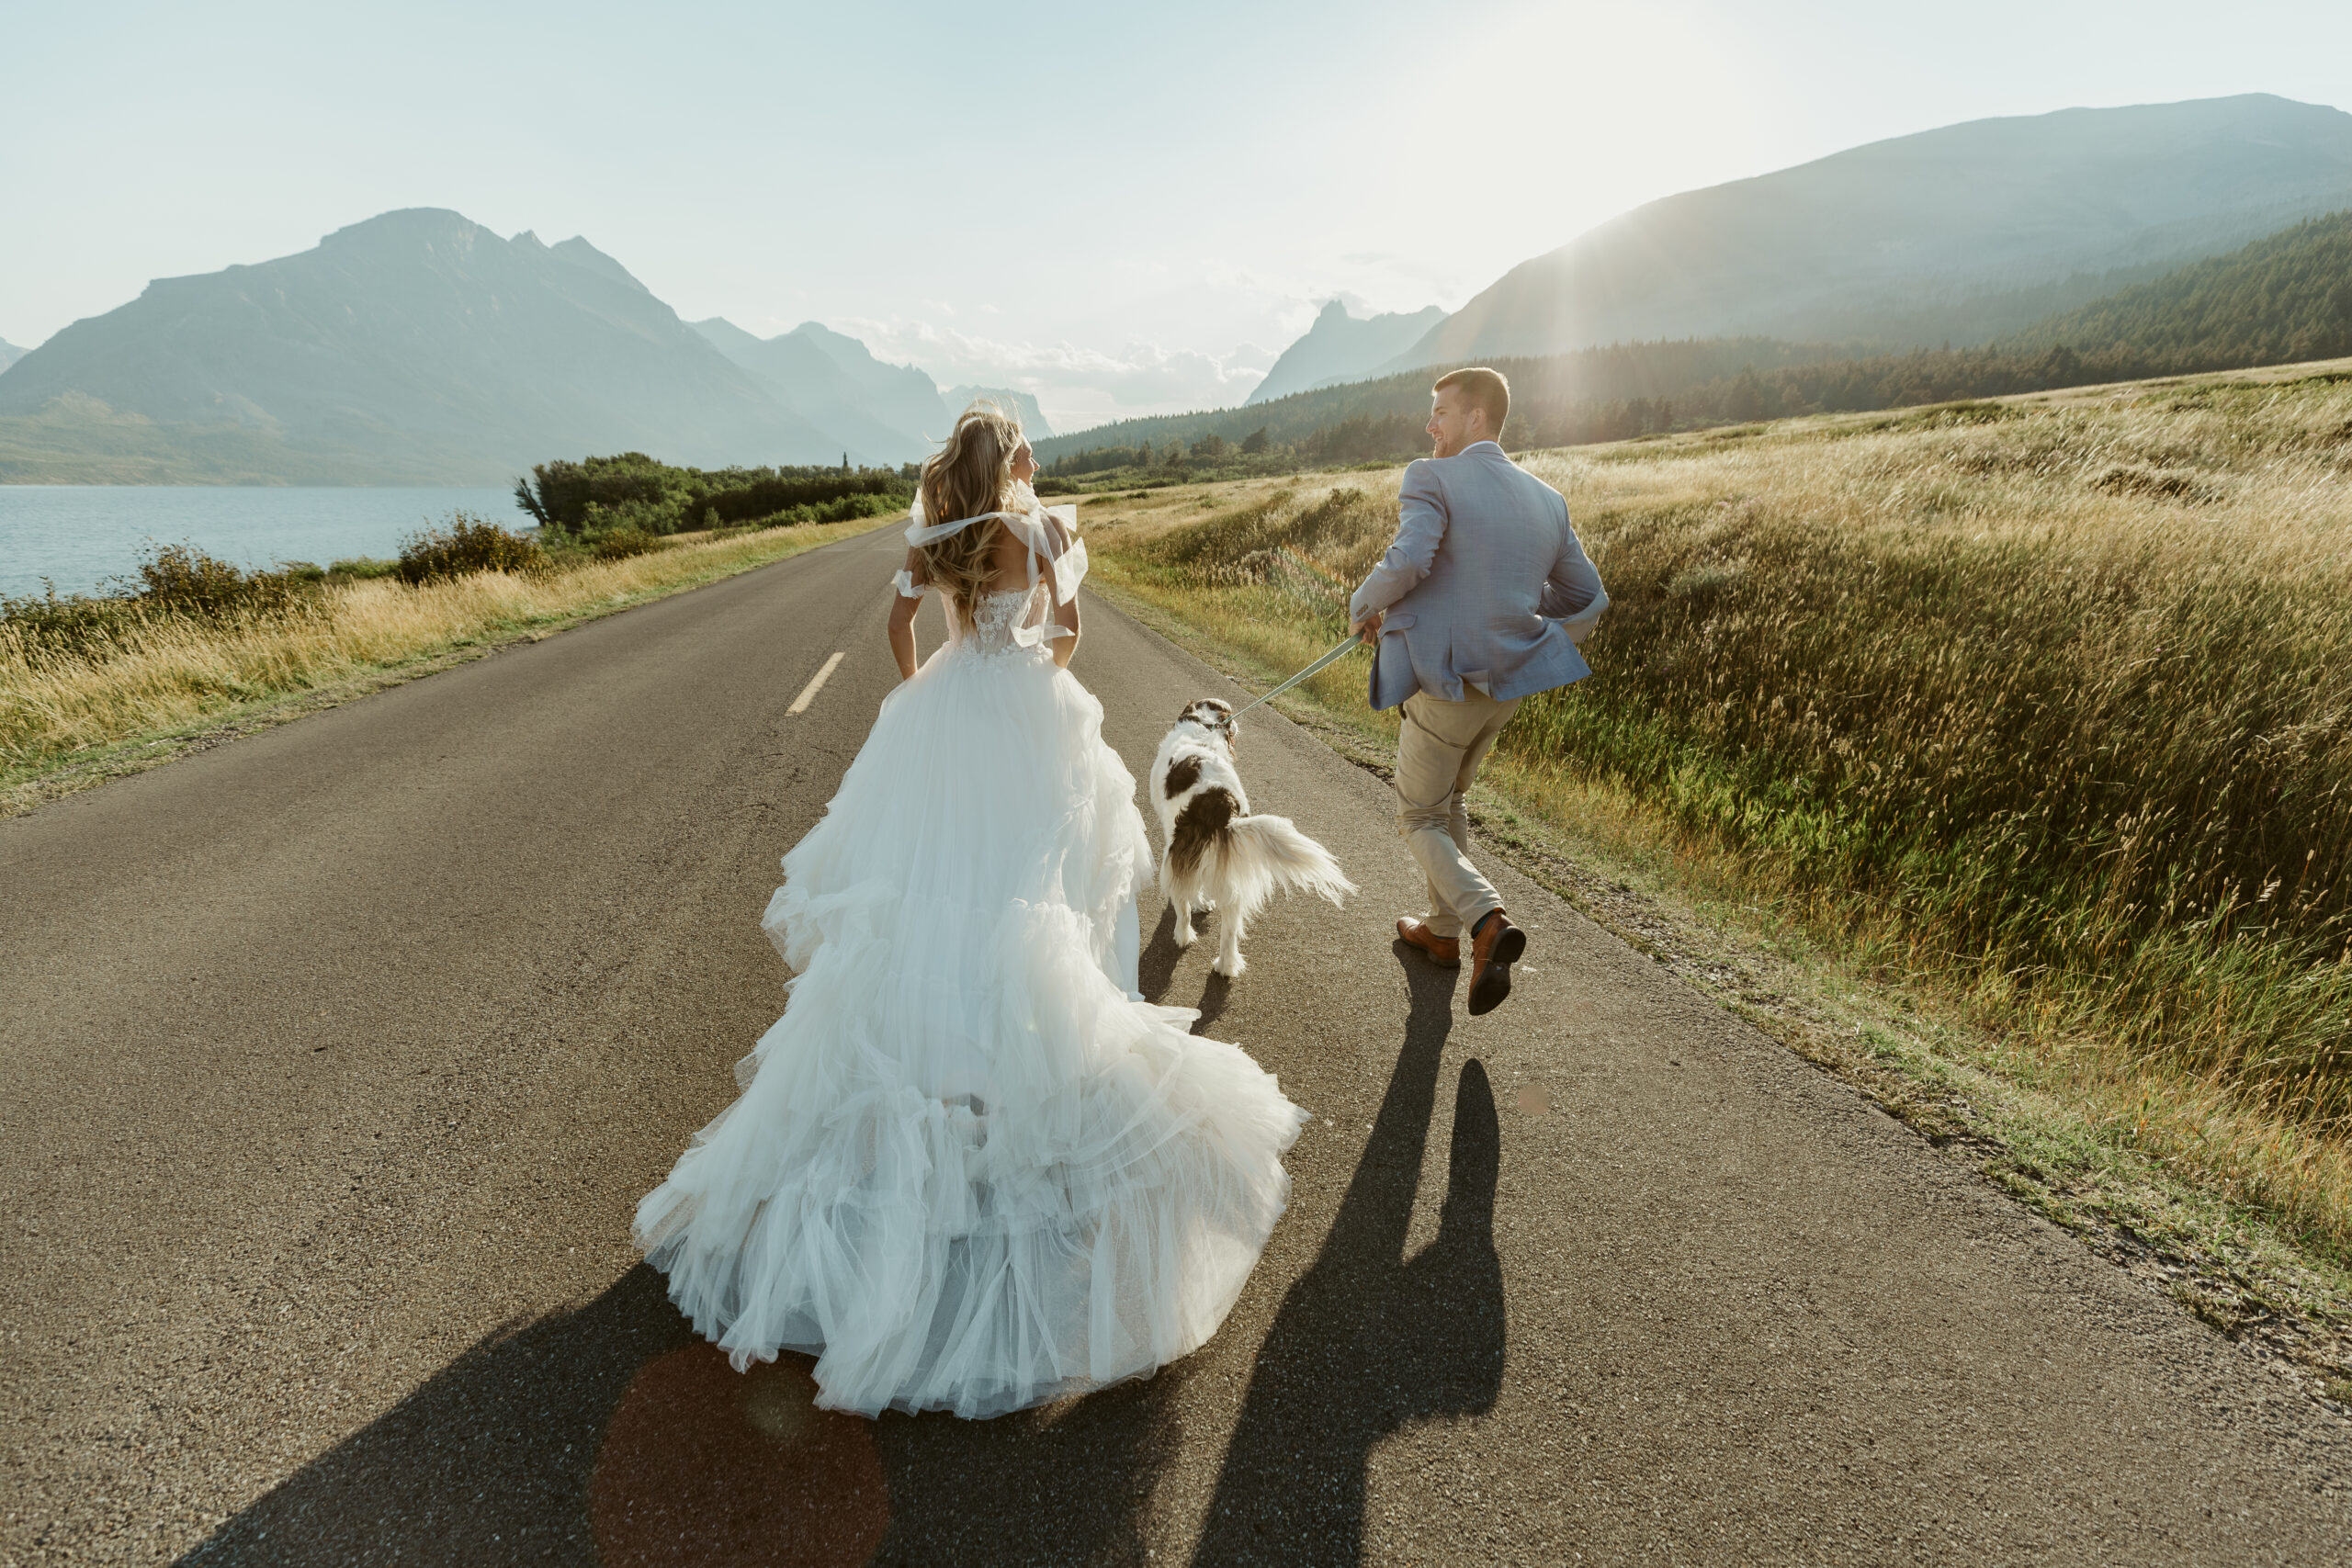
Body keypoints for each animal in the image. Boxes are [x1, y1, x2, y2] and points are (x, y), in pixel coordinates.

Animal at [1148, 695, 1354, 968]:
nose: (1235, 725)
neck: (1202, 725)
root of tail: (1219, 801)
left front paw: (1200, 905)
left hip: (1178, 855)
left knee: (1182, 906)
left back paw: (1183, 937)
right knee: (1231, 923)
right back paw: (1226, 966)